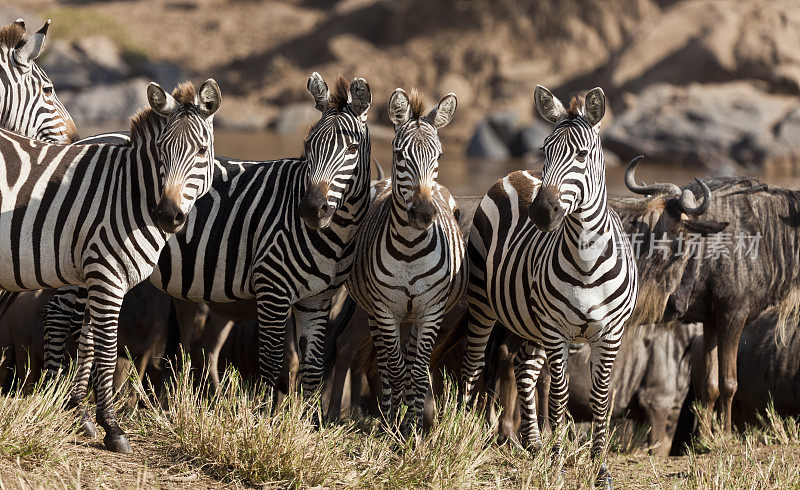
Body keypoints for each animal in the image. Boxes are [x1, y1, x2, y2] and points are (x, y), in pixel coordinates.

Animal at [0, 78, 222, 454]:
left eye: (202, 152)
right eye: (161, 152)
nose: (168, 215)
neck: (129, 196)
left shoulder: (97, 274)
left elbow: (89, 341)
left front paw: (83, 415)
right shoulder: (106, 274)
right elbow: (106, 348)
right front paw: (112, 427)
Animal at [40, 73, 372, 414]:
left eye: (352, 148)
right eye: (308, 146)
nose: (310, 209)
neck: (337, 233)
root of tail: (80, 141)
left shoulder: (317, 299)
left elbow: (313, 368)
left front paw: (306, 421)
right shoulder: (272, 287)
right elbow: (271, 361)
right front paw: (266, 419)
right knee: (58, 313)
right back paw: (55, 394)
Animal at [346, 88, 466, 428]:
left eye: (439, 157)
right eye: (400, 154)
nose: (424, 214)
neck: (411, 249)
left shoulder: (431, 311)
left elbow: (417, 373)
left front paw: (413, 428)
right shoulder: (385, 310)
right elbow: (395, 369)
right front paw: (394, 424)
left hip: (414, 316)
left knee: (411, 362)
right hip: (376, 313)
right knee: (387, 365)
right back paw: (388, 417)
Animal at [460, 86, 640, 484]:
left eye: (582, 154)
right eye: (546, 149)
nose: (541, 213)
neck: (587, 259)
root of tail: (518, 172)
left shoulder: (610, 334)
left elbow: (600, 399)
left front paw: (600, 469)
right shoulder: (557, 331)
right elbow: (558, 398)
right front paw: (557, 468)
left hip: (531, 321)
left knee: (524, 368)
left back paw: (533, 445)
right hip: (484, 304)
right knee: (473, 365)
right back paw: (455, 436)